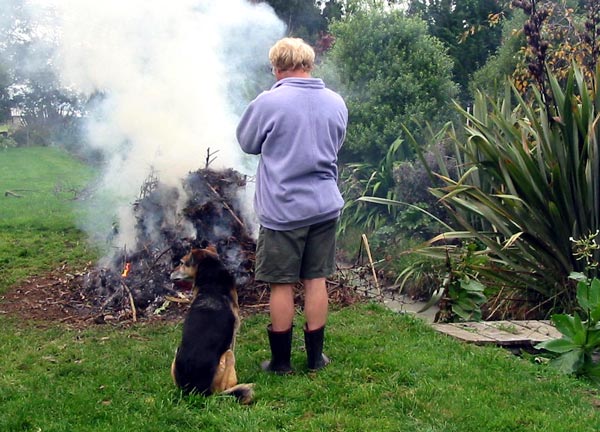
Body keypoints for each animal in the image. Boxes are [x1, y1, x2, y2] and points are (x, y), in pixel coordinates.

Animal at [169, 246, 253, 404]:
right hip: (228, 356)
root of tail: (196, 391)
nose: (170, 272)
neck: (212, 285)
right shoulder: (233, 335)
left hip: (176, 354)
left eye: (182, 263)